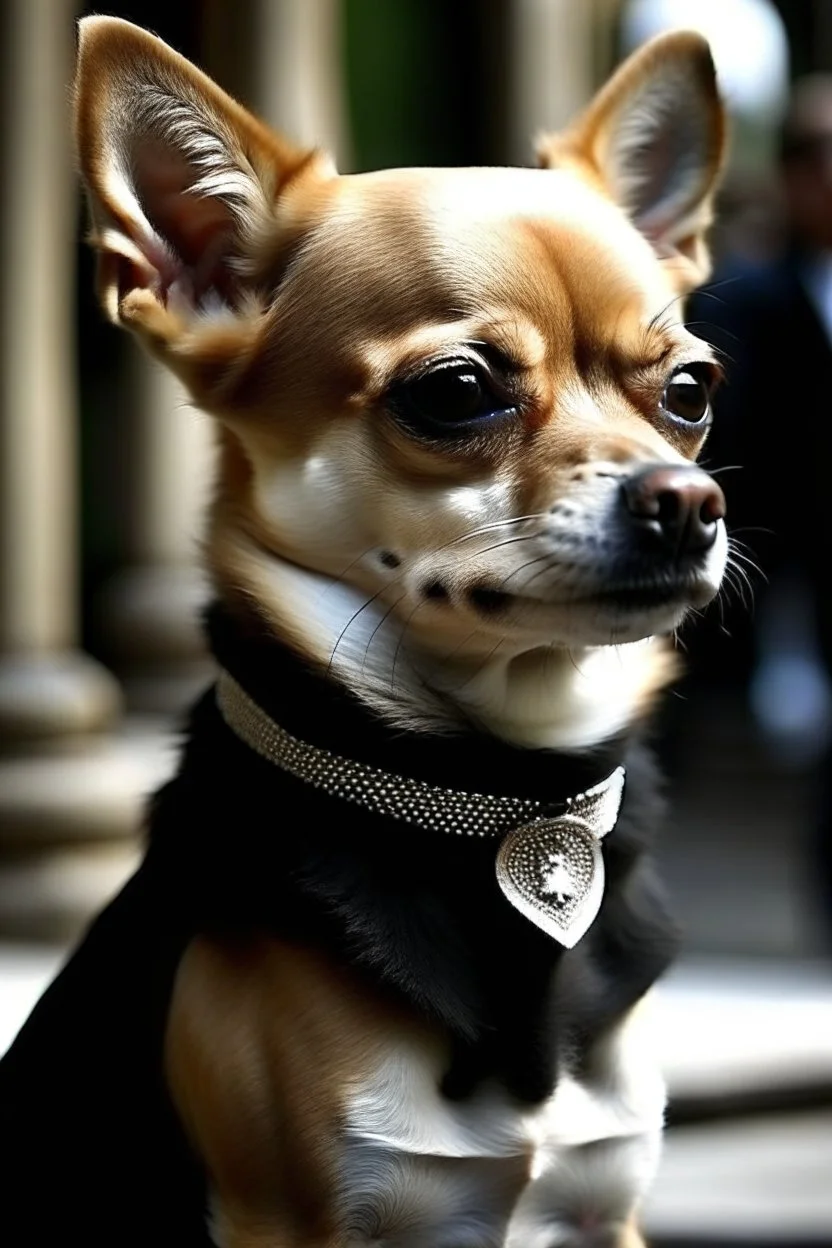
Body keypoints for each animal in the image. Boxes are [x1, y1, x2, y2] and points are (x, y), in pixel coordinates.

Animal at [0, 12, 728, 1248]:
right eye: (457, 391)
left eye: (690, 391)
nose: (687, 500)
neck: (500, 795)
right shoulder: (302, 1220)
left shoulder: (606, 1212)